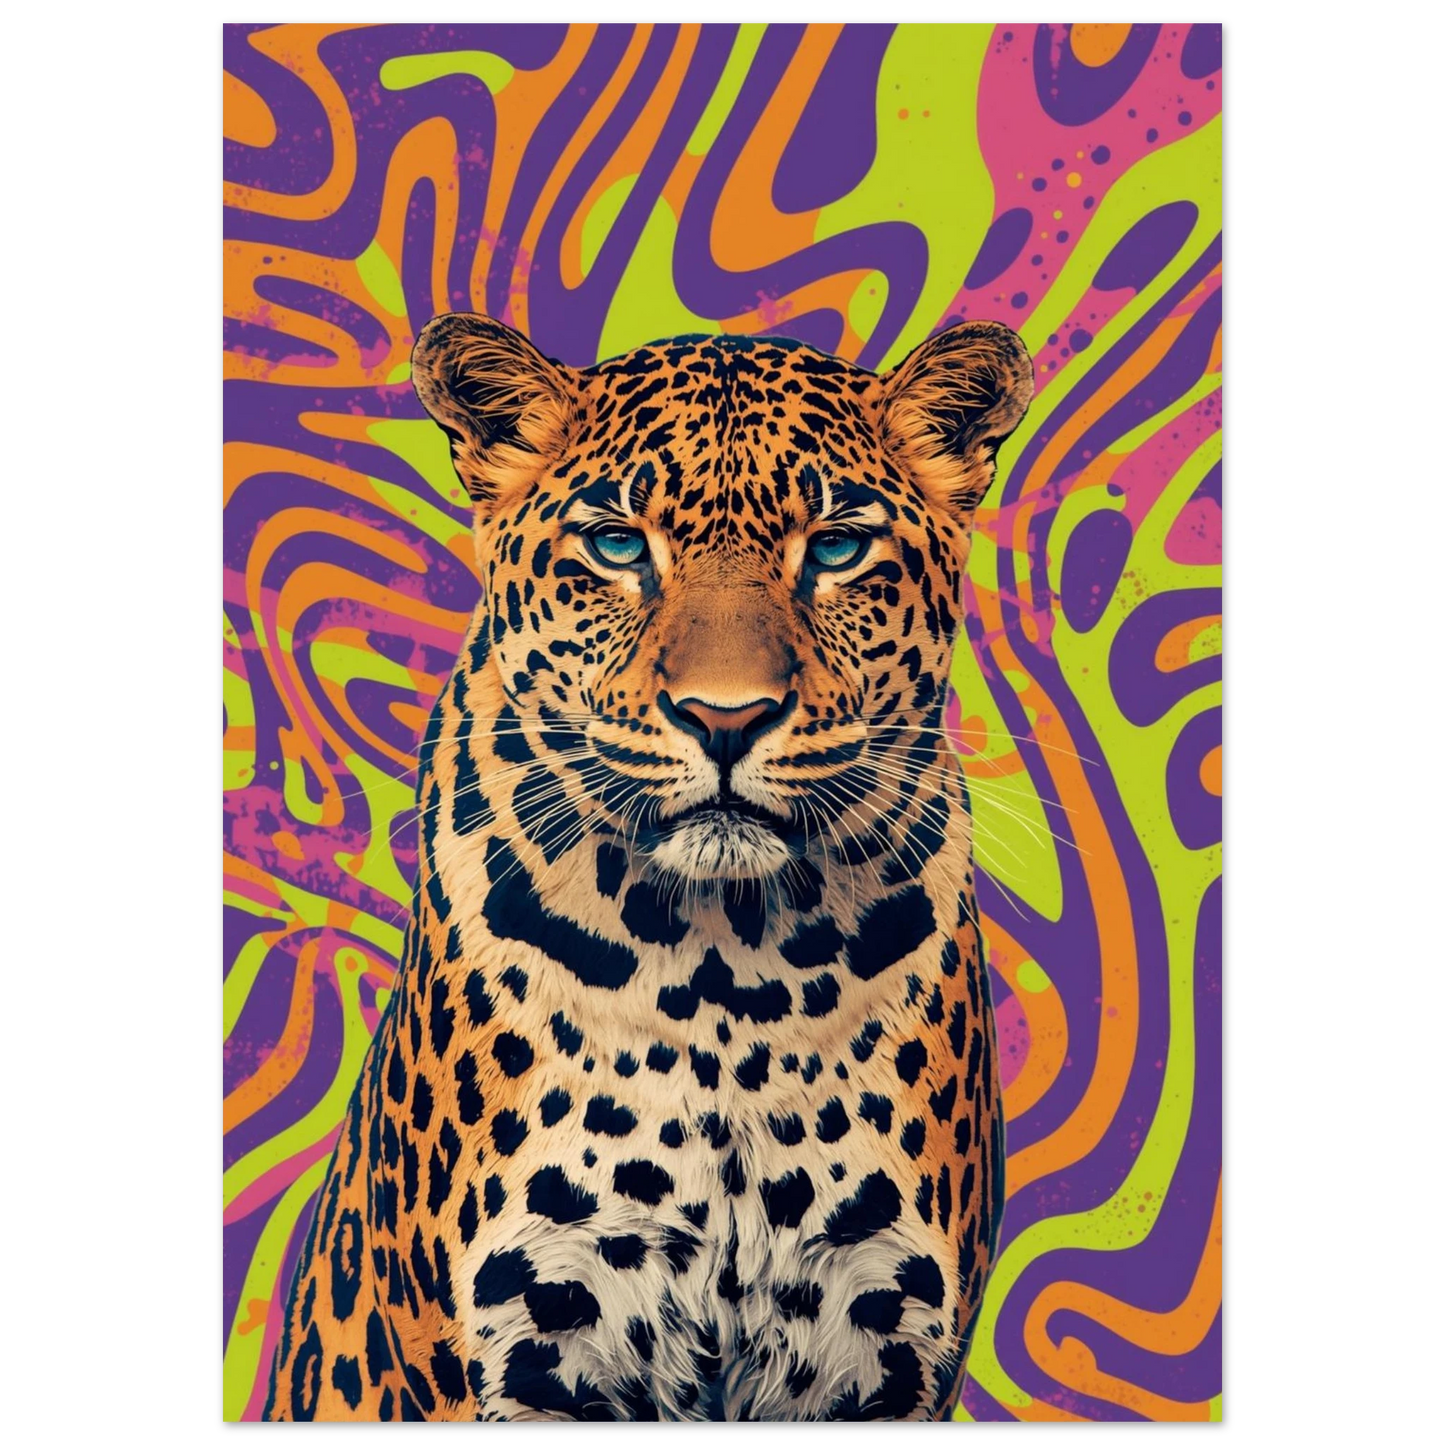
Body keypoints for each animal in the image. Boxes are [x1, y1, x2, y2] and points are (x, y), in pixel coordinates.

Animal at [262, 309, 1034, 1422]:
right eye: (618, 545)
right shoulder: (540, 1333)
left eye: (837, 546)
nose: (725, 717)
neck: (732, 974)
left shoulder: (876, 1348)